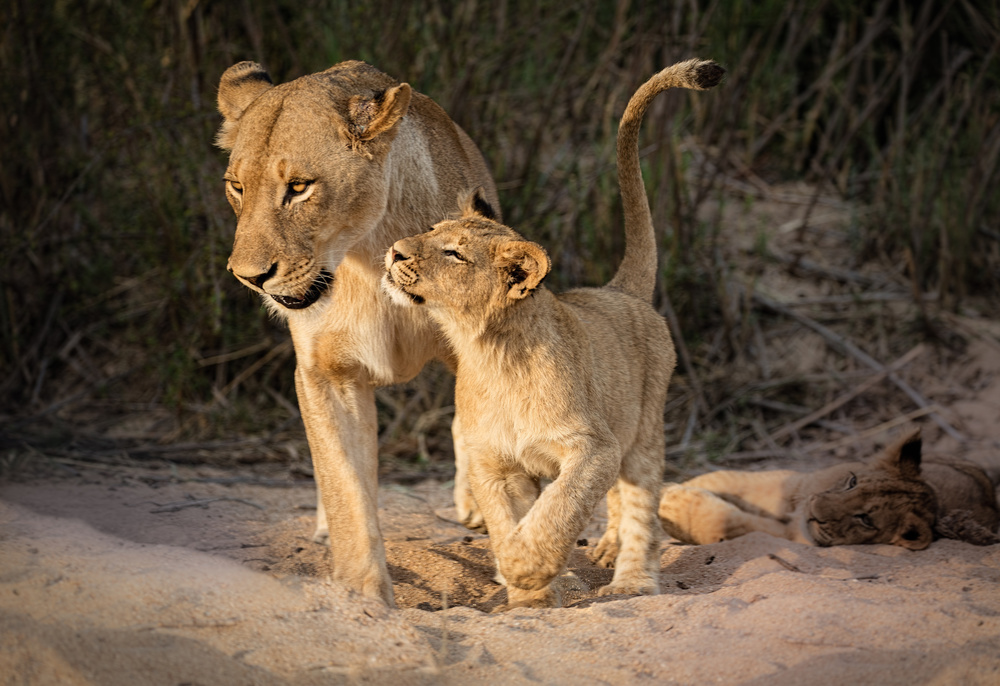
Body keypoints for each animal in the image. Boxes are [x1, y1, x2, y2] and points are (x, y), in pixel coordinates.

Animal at [216, 60, 501, 605]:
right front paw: (363, 595)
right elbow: (346, 484)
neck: (365, 254)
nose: (249, 277)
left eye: (299, 186)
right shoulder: (326, 374)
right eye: (237, 186)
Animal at [382, 59, 724, 609]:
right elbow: (507, 522)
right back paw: (604, 552)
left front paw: (528, 569)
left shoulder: (592, 447)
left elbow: (558, 509)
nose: (394, 250)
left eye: (454, 253)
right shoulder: (494, 462)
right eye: (432, 230)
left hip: (643, 430)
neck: (489, 350)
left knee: (640, 503)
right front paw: (529, 588)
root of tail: (617, 290)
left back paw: (630, 580)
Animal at [658, 429, 1000, 549]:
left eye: (866, 519)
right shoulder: (794, 484)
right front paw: (672, 486)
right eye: (852, 482)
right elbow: (730, 479)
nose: (814, 510)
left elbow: (732, 523)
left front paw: (672, 505)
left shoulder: (795, 534)